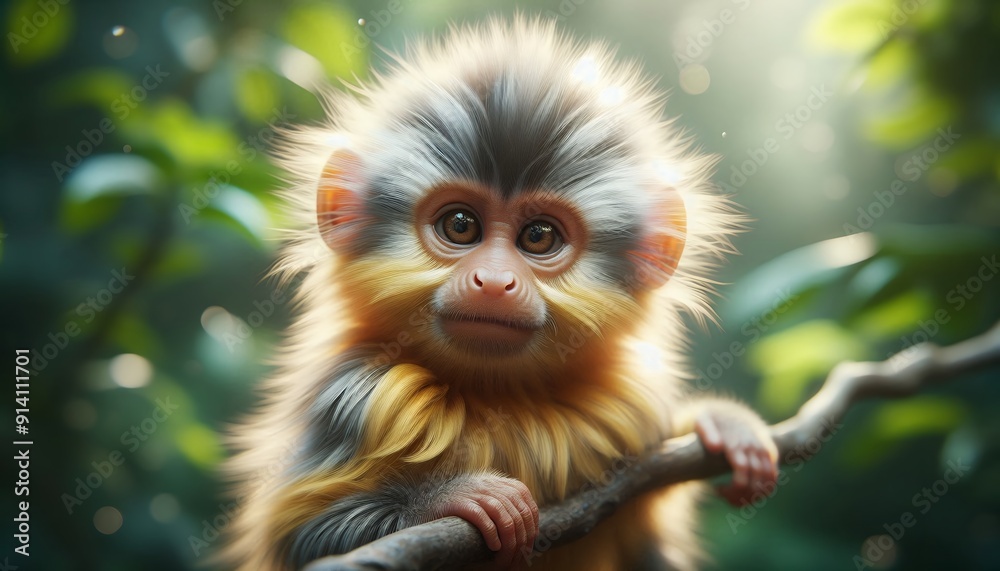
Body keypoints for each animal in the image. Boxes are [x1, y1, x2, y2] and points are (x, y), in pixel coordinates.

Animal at [221, 18, 778, 571]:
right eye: (461, 225)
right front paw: (450, 499)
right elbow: (301, 540)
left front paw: (721, 422)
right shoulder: (356, 396)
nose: (492, 280)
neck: (498, 394)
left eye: (539, 237)